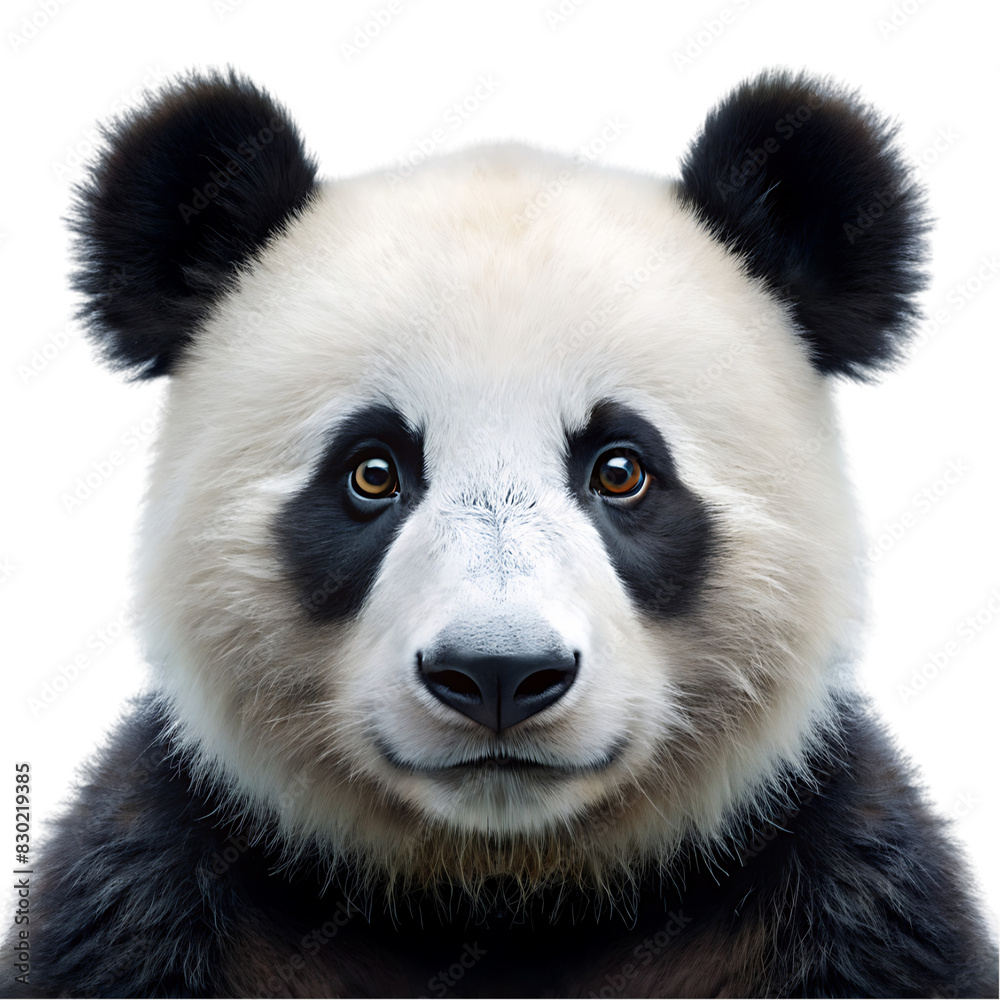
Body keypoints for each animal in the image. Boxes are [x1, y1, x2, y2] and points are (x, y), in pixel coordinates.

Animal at [7, 68, 997, 998]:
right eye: (372, 472)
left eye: (621, 470)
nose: (497, 673)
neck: (502, 893)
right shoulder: (158, 898)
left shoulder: (840, 901)